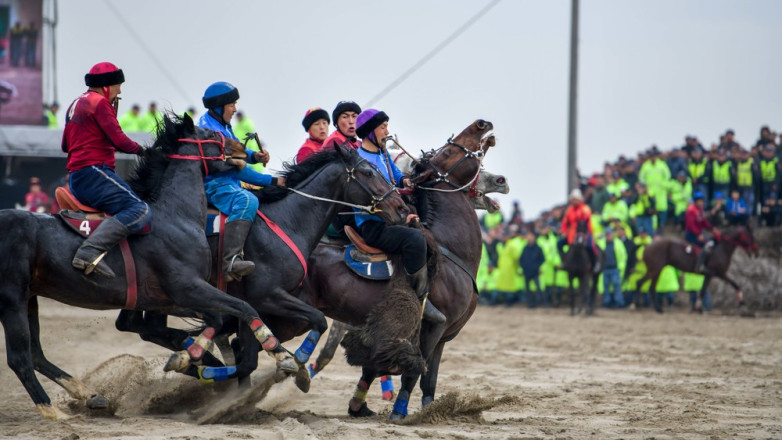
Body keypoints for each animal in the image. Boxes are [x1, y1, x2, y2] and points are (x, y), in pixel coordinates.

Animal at [0, 114, 298, 420]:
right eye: (212, 135)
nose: (243, 148)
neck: (175, 216)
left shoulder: (174, 298)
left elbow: (216, 320)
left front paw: (192, 360)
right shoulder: (188, 289)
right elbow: (243, 308)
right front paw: (280, 355)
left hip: (30, 297)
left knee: (36, 354)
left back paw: (91, 395)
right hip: (11, 299)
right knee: (19, 358)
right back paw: (53, 411)